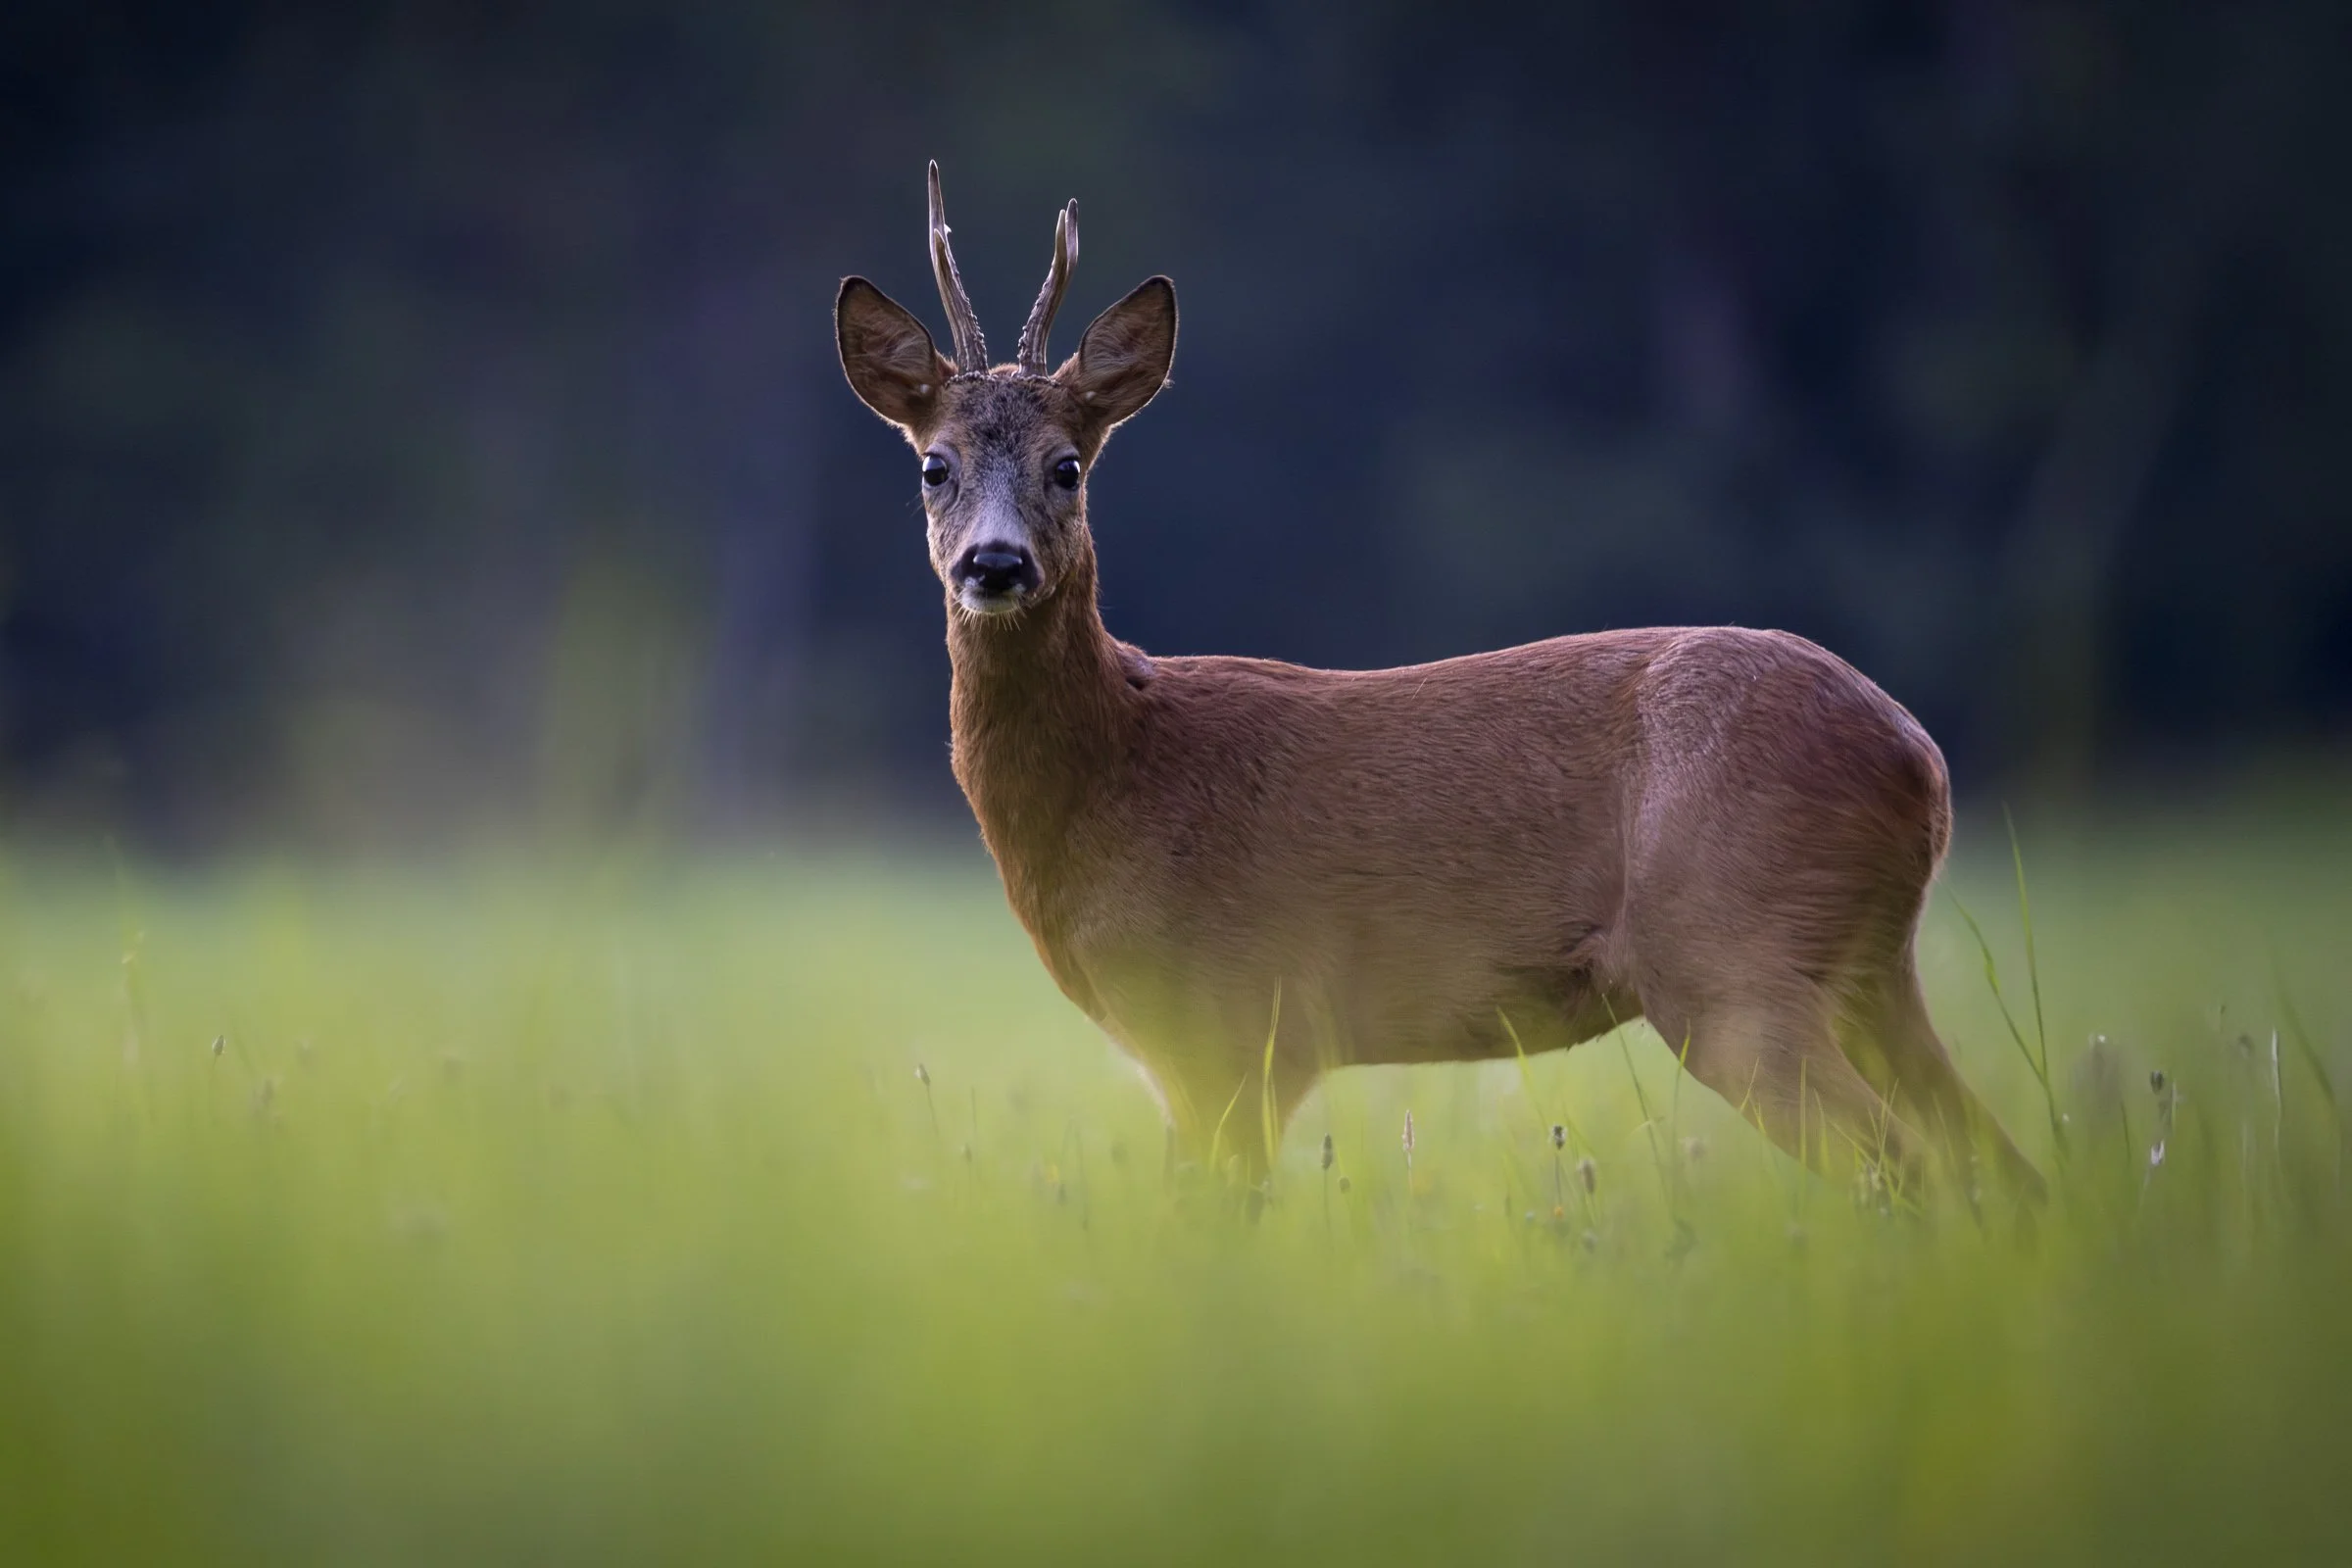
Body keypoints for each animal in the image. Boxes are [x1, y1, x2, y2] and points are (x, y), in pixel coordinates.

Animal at [834, 163, 2043, 1210]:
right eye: (934, 465)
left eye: (1068, 466)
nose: (995, 564)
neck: (1121, 774)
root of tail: (1920, 756)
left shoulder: (1230, 1022)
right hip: (1867, 971)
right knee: (2005, 1164)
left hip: (1736, 961)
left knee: (1915, 1170)